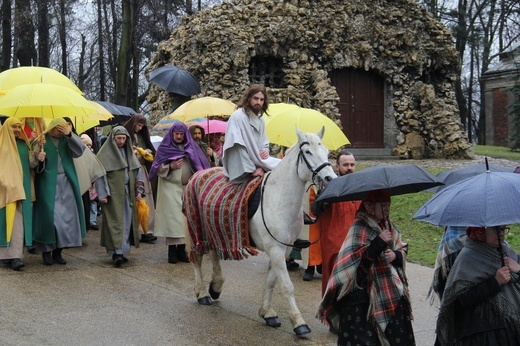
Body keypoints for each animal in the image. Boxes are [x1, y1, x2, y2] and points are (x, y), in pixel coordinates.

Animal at [185, 127, 336, 336]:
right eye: (308, 152)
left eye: (327, 152)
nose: (330, 179)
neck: (279, 199)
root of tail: (198, 174)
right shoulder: (276, 250)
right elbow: (287, 286)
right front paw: (299, 322)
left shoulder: (283, 250)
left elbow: (271, 281)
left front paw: (267, 313)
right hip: (197, 228)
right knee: (198, 258)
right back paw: (202, 293)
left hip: (213, 228)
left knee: (214, 252)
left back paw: (216, 286)